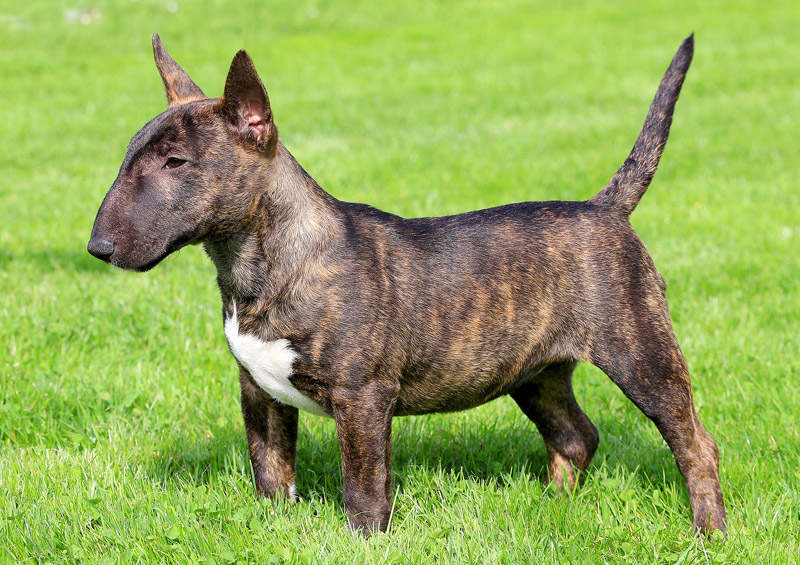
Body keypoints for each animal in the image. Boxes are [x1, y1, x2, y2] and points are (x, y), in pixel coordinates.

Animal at [87, 33, 724, 536]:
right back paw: (551, 507)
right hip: (534, 371)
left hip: (642, 354)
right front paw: (274, 528)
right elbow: (272, 473)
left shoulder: (362, 398)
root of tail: (604, 209)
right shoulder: (259, 393)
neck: (264, 263)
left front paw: (364, 542)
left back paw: (708, 532)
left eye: (175, 162)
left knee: (696, 443)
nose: (99, 248)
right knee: (576, 436)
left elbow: (363, 488)